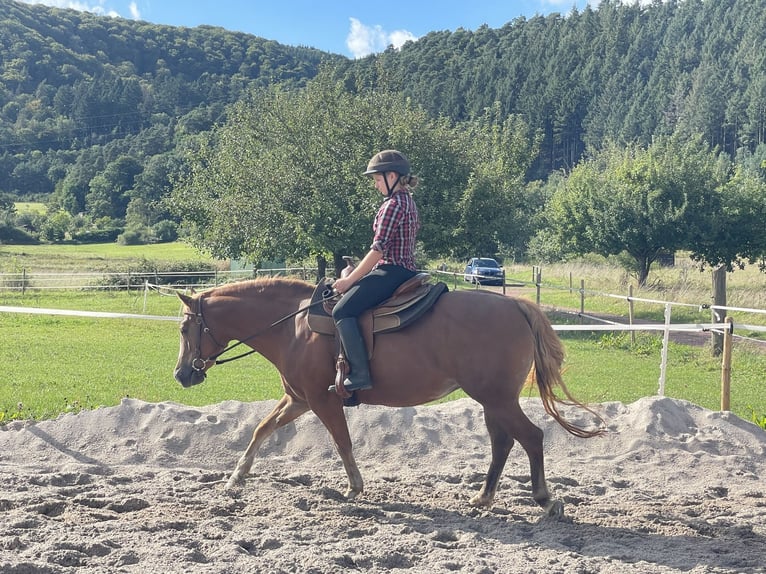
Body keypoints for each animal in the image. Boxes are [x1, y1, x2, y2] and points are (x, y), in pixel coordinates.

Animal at [176, 276, 608, 520]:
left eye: (183, 329)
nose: (181, 374)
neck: (294, 327)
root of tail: (514, 305)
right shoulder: (298, 399)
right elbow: (261, 430)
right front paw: (235, 478)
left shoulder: (321, 400)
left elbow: (343, 442)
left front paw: (354, 487)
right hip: (492, 401)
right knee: (502, 443)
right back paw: (483, 498)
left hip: (498, 399)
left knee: (531, 437)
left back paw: (545, 500)